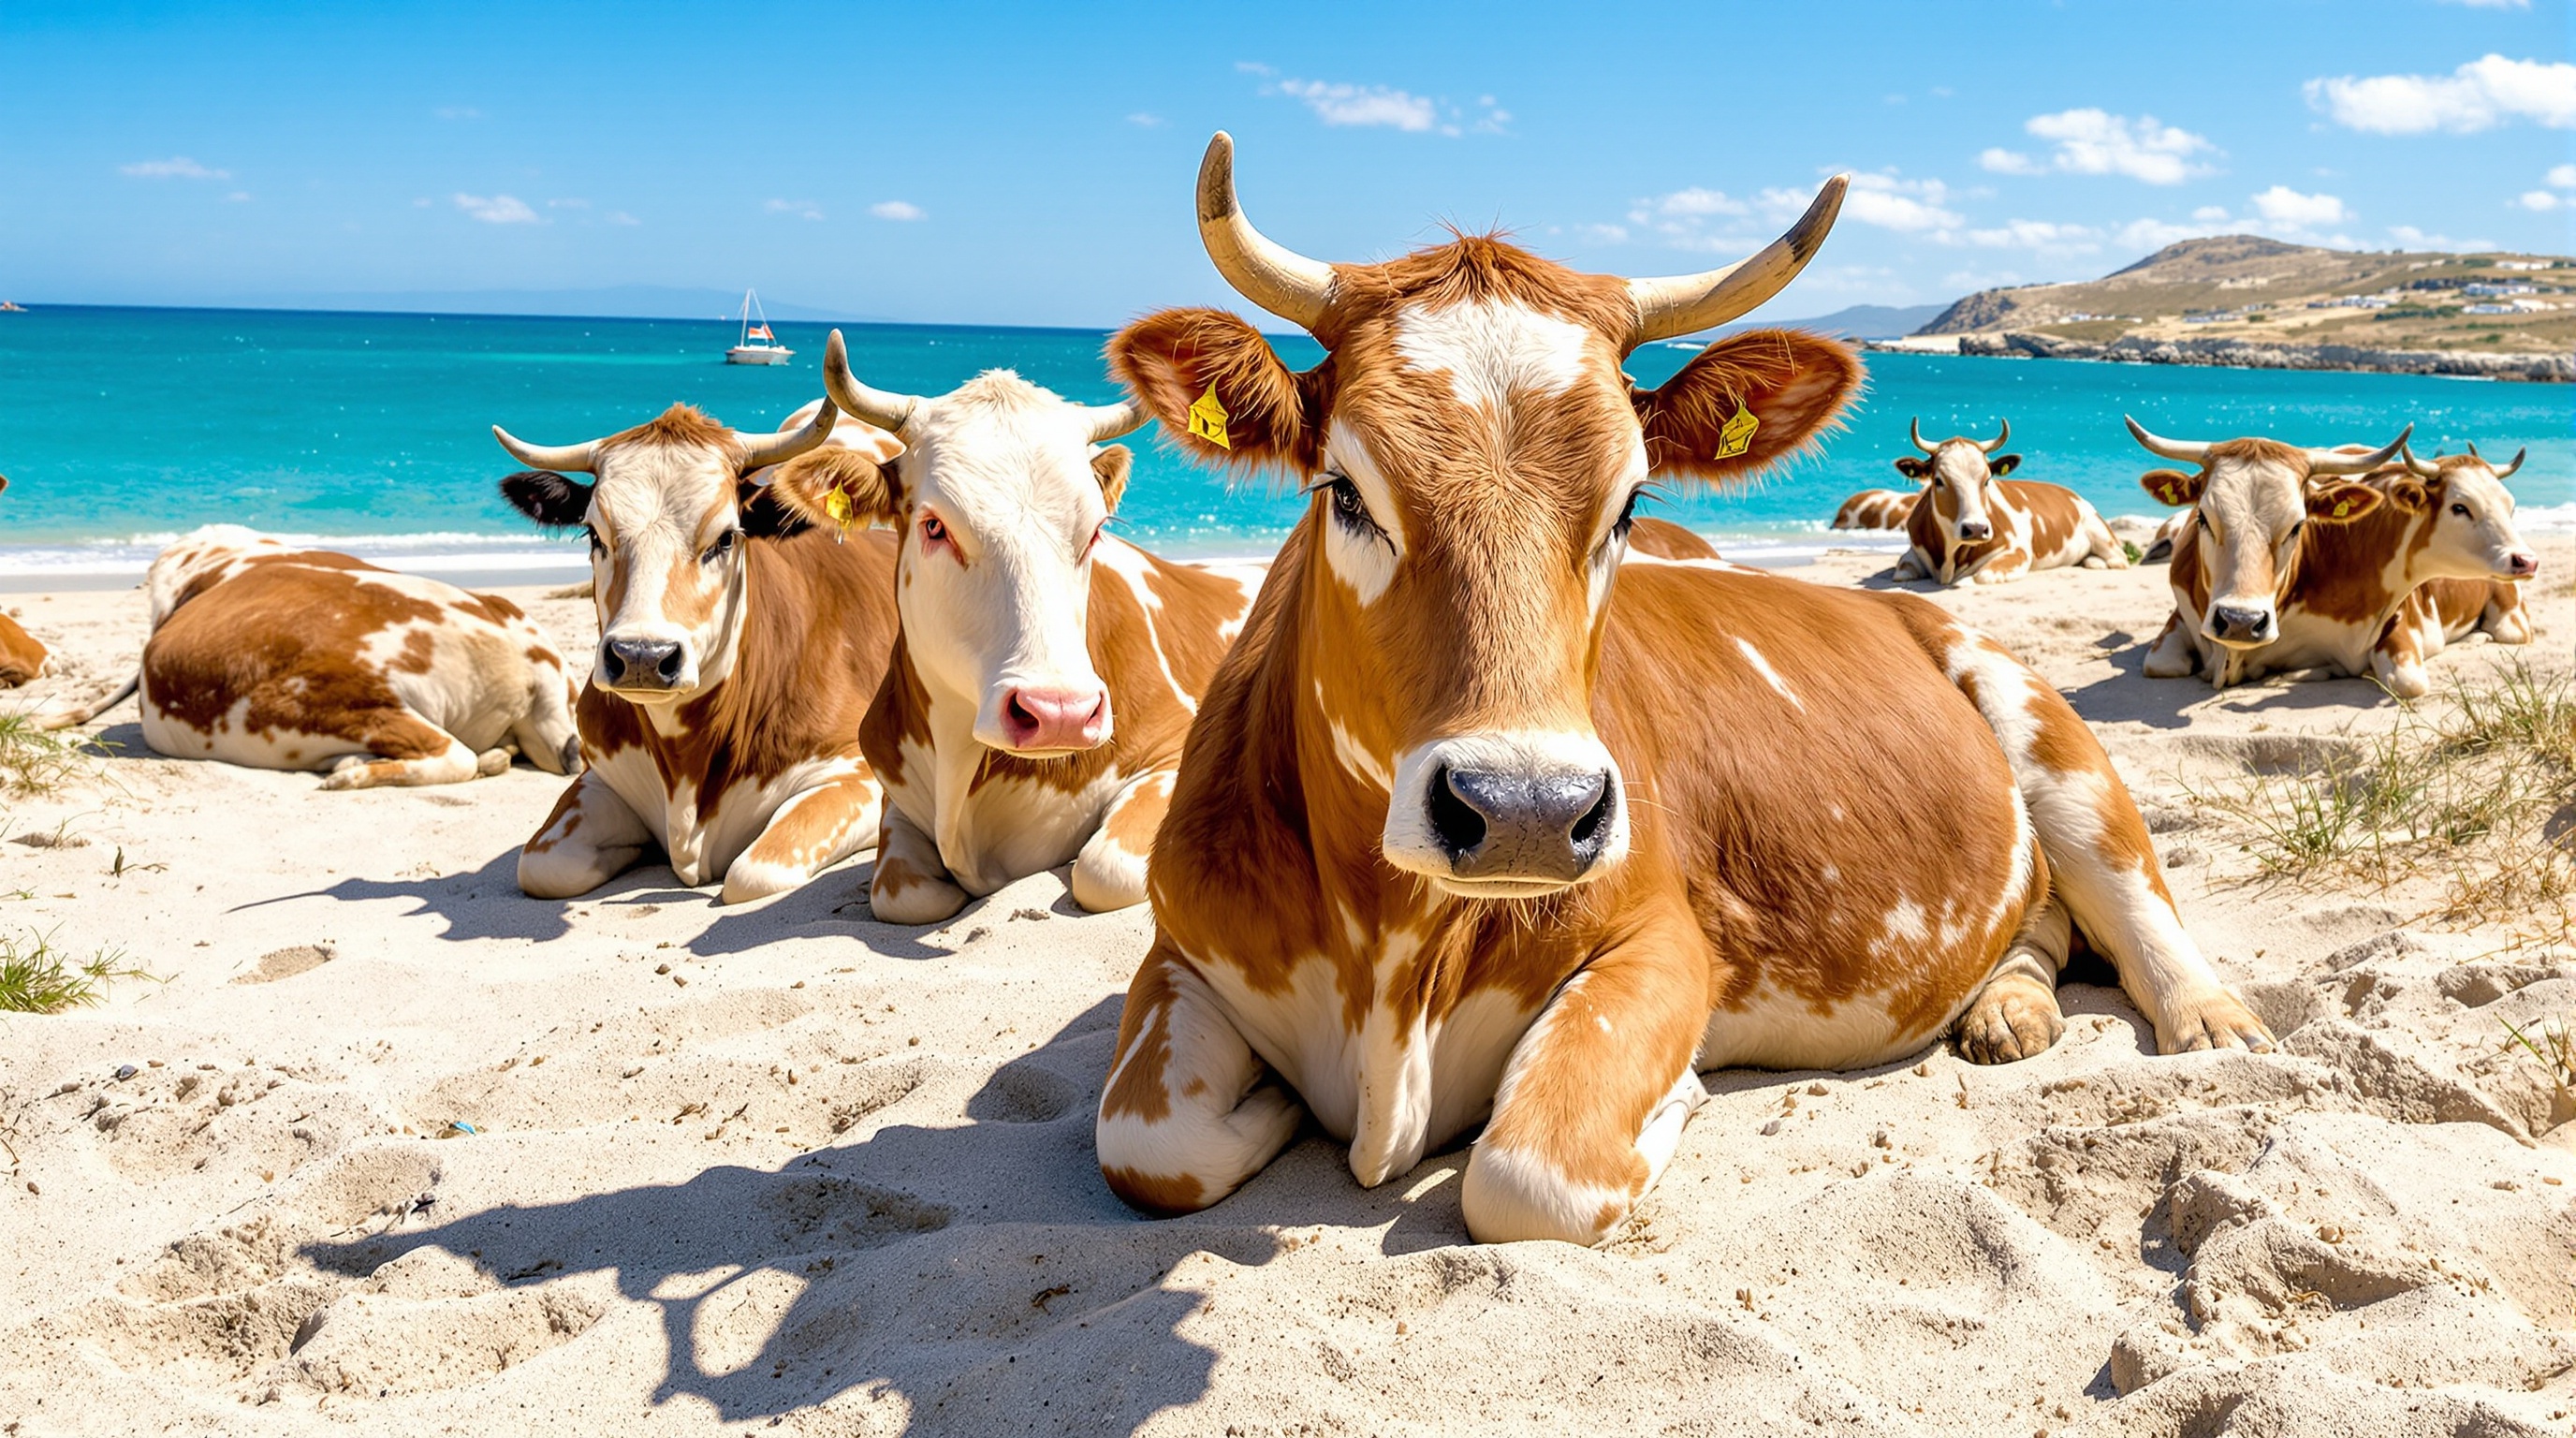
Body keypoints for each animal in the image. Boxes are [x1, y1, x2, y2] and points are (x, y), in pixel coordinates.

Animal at [496, 400, 904, 903]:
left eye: (726, 537)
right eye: (594, 535)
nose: (642, 656)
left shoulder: (857, 771)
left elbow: (753, 872)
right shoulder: (600, 774)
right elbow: (544, 865)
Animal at [1891, 420, 2127, 584]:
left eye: (1987, 480)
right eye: (1938, 480)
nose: (1976, 529)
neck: (1949, 559)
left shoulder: (2017, 550)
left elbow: (1980, 577)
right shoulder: (1912, 554)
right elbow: (1901, 572)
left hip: (2102, 534)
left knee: (2120, 559)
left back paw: (2094, 561)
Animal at [2132, 421, 2537, 698]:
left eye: (2297, 525)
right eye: (2202, 517)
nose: (2240, 622)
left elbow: (2407, 682)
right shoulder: (2181, 618)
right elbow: (2160, 663)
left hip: (2511, 608)